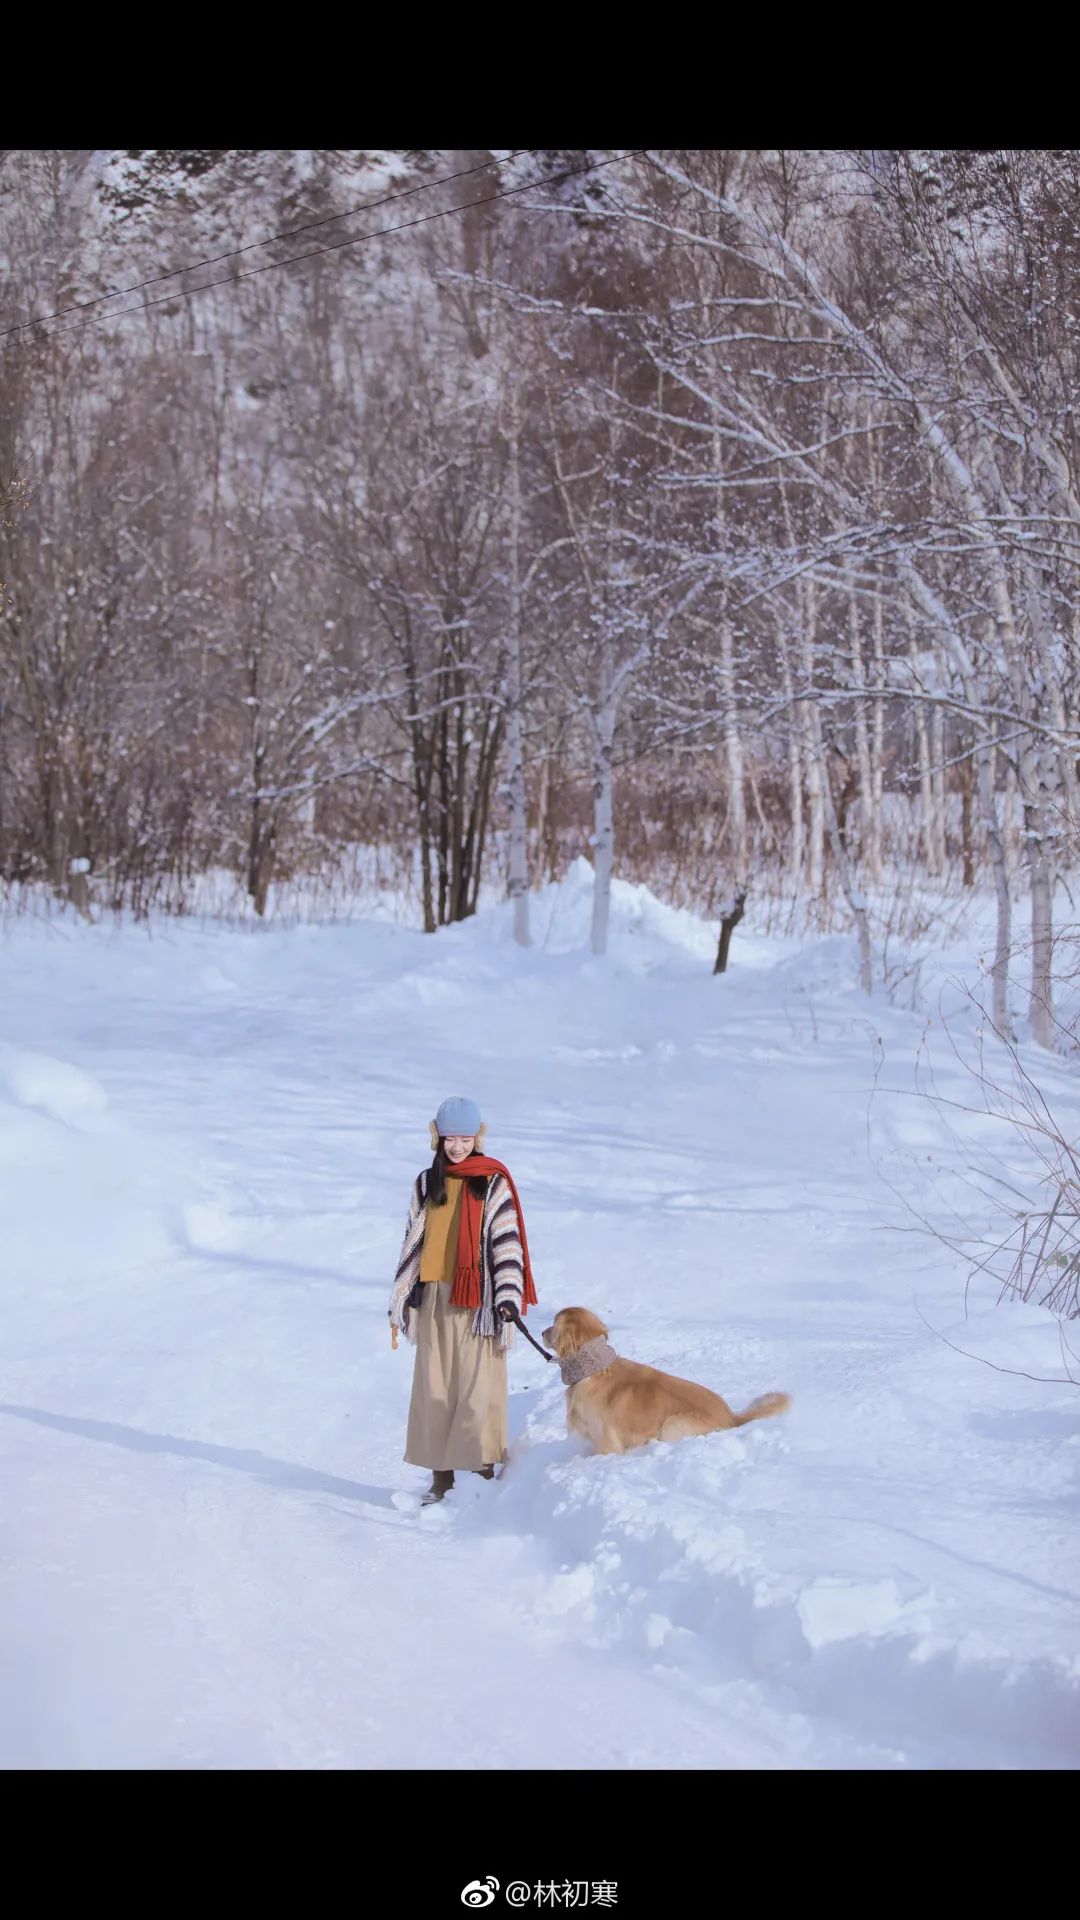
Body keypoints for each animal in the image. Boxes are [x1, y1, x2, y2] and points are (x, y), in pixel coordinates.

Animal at [541, 1305, 787, 1451]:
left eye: (554, 1324)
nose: (542, 1332)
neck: (593, 1369)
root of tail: (732, 1418)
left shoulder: (606, 1443)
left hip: (672, 1424)